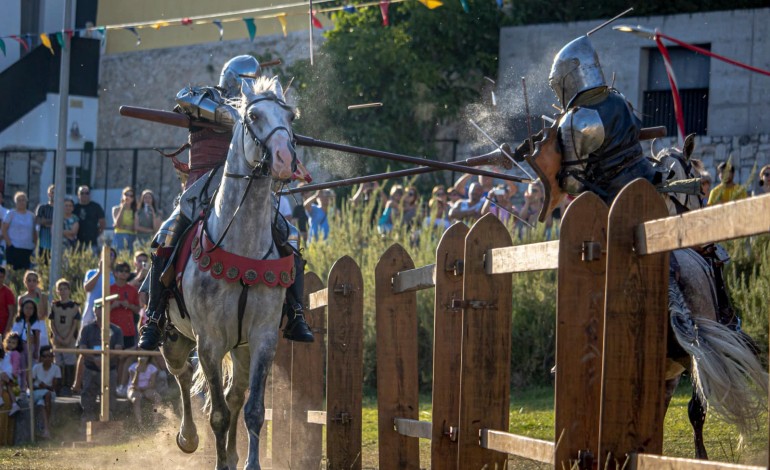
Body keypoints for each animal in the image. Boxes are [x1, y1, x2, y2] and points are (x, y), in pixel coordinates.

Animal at [160, 77, 296, 470]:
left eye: (290, 117)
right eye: (253, 116)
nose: (285, 160)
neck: (243, 245)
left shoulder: (262, 339)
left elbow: (253, 410)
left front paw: (248, 462)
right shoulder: (209, 342)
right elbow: (217, 414)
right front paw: (220, 459)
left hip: (241, 348)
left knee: (235, 395)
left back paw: (233, 453)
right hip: (175, 337)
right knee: (181, 374)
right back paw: (188, 437)